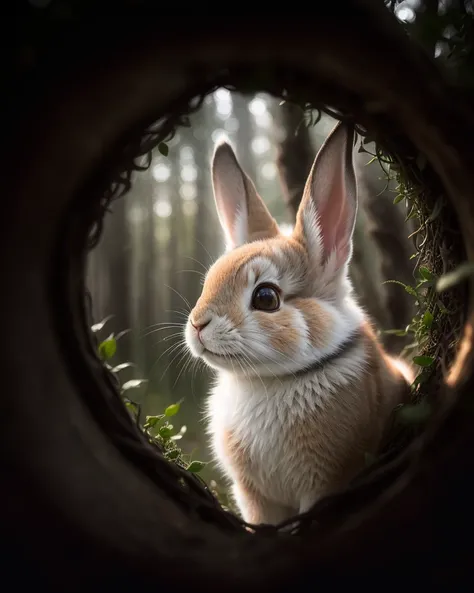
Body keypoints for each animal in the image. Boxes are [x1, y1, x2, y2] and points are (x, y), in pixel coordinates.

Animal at [183, 119, 412, 524]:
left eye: (266, 297)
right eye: (210, 279)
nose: (197, 325)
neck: (272, 380)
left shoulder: (325, 482)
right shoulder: (254, 496)